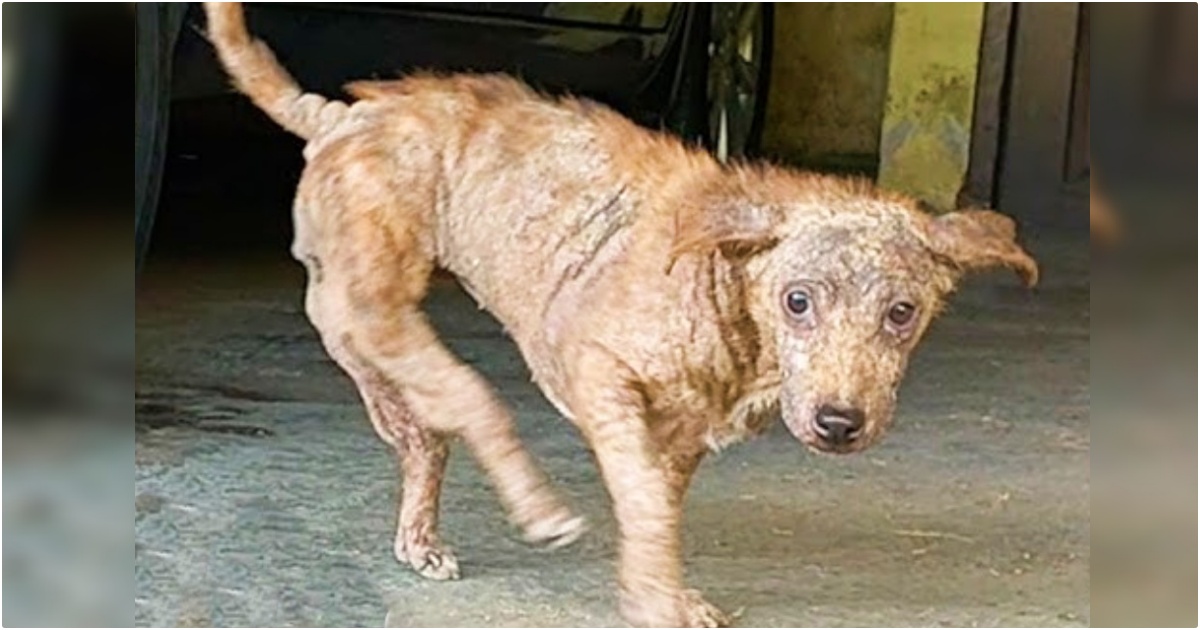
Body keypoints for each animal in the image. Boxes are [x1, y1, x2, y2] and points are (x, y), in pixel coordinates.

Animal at [201, 3, 1036, 624]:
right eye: (797, 301)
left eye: (902, 313)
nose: (840, 423)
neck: (722, 298)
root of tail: (340, 118)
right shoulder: (600, 376)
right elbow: (640, 497)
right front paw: (659, 596)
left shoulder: (684, 439)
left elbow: (654, 508)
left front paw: (655, 587)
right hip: (376, 311)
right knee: (471, 399)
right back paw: (534, 502)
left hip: (366, 345)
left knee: (425, 440)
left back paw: (421, 533)